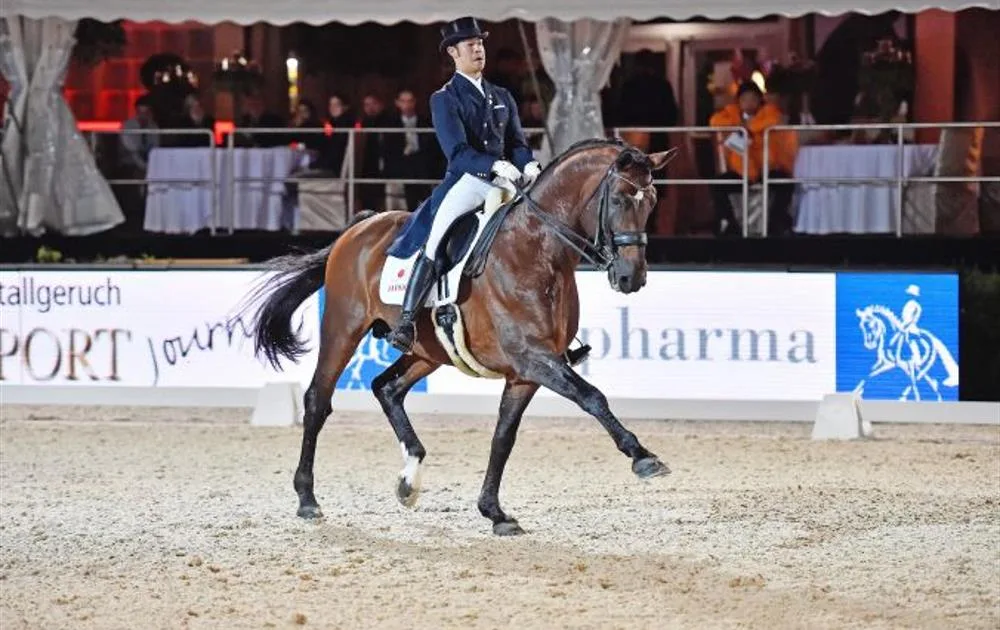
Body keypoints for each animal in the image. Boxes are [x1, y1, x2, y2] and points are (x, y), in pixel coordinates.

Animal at [245, 136, 676, 536]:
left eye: (653, 201)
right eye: (619, 199)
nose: (631, 278)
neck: (537, 251)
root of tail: (359, 227)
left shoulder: (527, 372)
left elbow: (503, 437)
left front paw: (495, 512)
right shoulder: (533, 357)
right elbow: (592, 396)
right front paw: (643, 457)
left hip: (427, 350)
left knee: (387, 388)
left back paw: (409, 479)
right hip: (342, 328)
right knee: (318, 400)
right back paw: (307, 499)